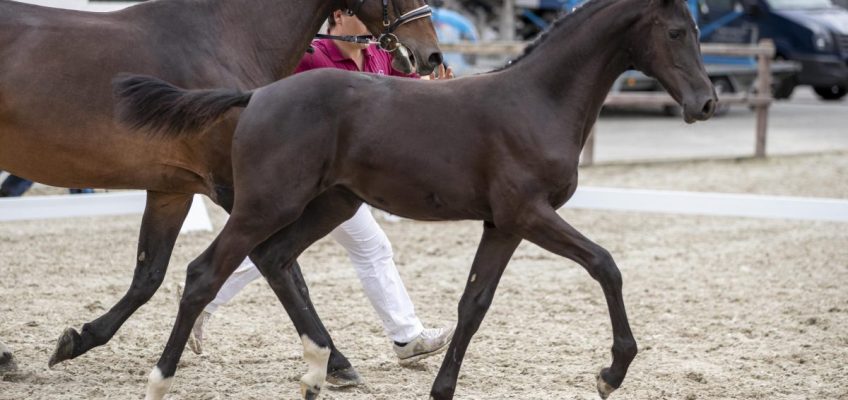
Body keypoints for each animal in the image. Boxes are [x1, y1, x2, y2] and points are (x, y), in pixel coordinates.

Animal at [0, 0, 440, 384]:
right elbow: (283, 269)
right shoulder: (240, 191)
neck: (225, 37)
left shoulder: (171, 190)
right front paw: (336, 361)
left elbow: (148, 275)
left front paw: (80, 339)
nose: (431, 55)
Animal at [117, 0, 716, 396]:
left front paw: (441, 388)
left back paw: (317, 368)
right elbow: (605, 265)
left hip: (331, 204)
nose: (706, 103)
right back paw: (159, 377)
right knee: (205, 272)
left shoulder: (503, 224)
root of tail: (257, 95)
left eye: (695, 29)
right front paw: (612, 372)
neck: (536, 101)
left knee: (273, 259)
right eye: (675, 31)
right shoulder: (529, 213)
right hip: (266, 205)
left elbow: (474, 303)